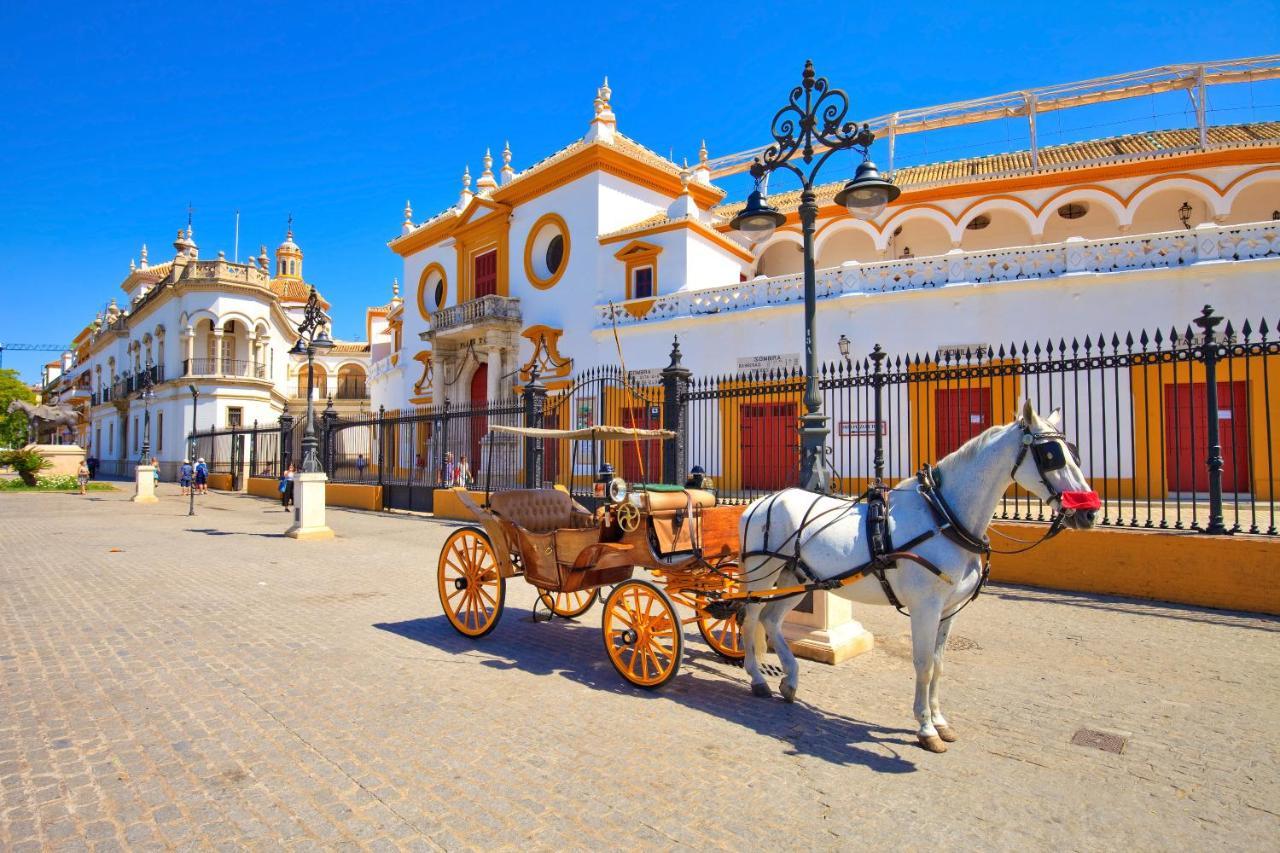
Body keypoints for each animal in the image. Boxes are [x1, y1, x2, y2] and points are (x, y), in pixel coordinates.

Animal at [742, 399, 1100, 753]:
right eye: (1051, 455)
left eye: (1075, 452)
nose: (1089, 513)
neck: (944, 516)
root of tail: (762, 501)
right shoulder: (925, 607)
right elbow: (923, 664)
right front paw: (926, 729)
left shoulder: (949, 609)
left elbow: (939, 664)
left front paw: (940, 721)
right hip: (762, 574)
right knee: (750, 618)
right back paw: (757, 678)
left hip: (797, 578)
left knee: (771, 620)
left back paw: (790, 680)